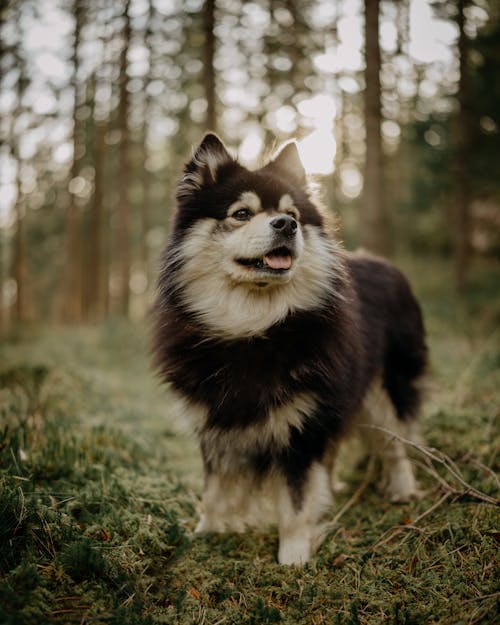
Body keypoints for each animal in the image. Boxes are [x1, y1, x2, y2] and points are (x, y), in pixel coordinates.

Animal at [152, 133, 426, 564]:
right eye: (241, 213)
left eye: (291, 212)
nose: (287, 225)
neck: (251, 327)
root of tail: (388, 264)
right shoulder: (216, 422)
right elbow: (215, 488)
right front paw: (207, 535)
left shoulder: (302, 426)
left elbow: (296, 500)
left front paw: (294, 555)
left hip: (388, 387)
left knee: (396, 442)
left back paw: (402, 490)